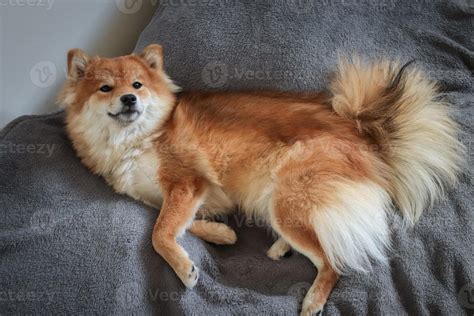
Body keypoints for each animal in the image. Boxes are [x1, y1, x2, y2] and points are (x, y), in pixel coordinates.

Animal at [58, 45, 462, 316]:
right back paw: (281, 248)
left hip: (288, 198)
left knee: (332, 261)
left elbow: (160, 232)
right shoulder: (164, 196)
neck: (136, 139)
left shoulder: (187, 182)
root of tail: (362, 134)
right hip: (278, 199)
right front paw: (222, 234)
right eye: (105, 89)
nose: (129, 99)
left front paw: (185, 268)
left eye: (138, 84)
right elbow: (179, 224)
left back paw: (312, 300)